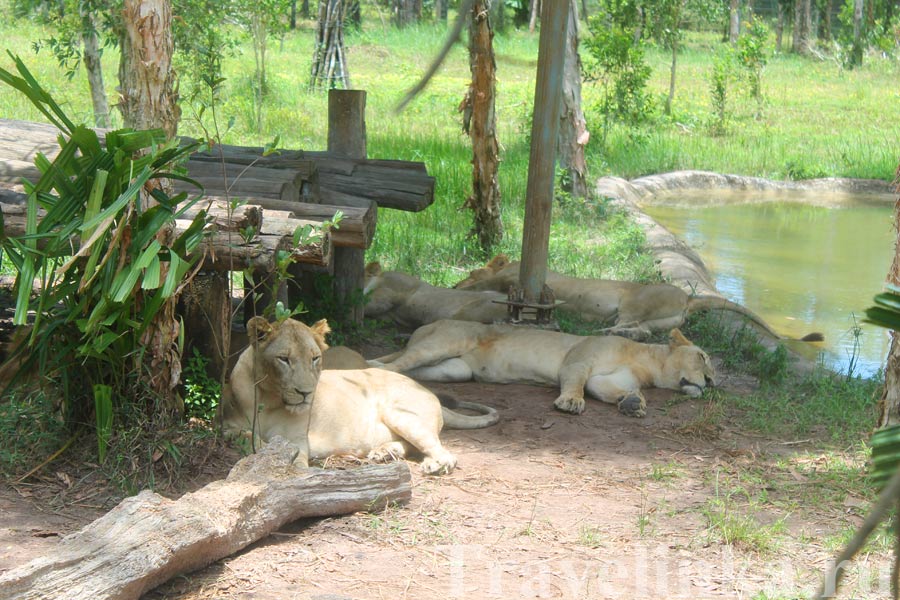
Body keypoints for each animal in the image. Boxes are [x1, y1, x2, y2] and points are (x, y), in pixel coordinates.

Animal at [220, 316, 500, 476]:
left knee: (444, 451)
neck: (268, 399)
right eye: (284, 359)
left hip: (400, 413)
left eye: (315, 358)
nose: (306, 392)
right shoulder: (226, 425)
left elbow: (292, 457)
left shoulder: (298, 440)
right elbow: (245, 435)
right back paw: (384, 453)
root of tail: (426, 389)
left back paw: (434, 464)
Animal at [370, 318, 712, 418]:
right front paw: (571, 402)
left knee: (411, 370)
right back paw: (372, 365)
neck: (647, 363)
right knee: (398, 360)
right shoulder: (578, 358)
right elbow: (575, 383)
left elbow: (610, 390)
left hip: (454, 370)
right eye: (703, 356)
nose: (712, 382)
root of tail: (426, 326)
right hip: (444, 342)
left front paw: (633, 403)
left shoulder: (606, 379)